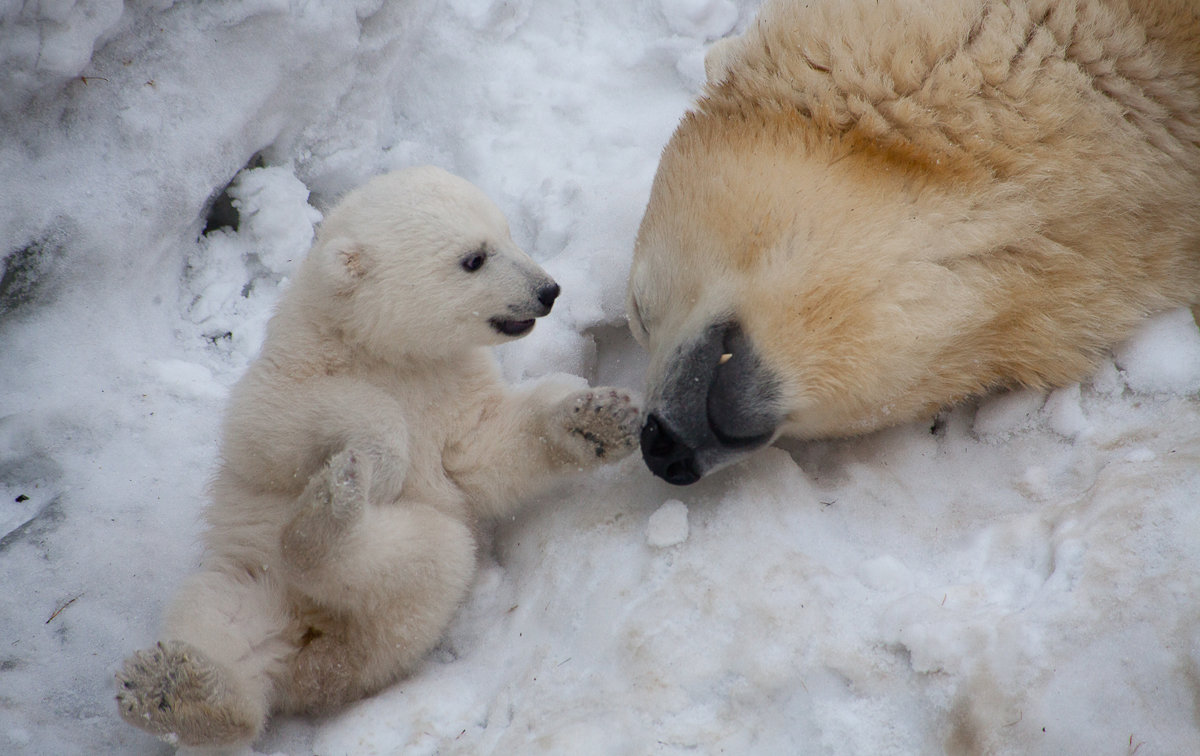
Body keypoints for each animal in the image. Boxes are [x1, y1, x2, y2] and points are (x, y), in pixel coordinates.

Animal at [118, 166, 643, 748]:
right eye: (474, 258)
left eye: (508, 232)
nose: (547, 291)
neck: (387, 351)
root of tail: (305, 651)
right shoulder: (297, 360)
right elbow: (268, 425)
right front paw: (382, 463)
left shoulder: (453, 390)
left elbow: (483, 453)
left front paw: (599, 417)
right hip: (245, 576)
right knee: (216, 623)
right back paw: (178, 690)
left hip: (364, 611)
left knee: (425, 561)